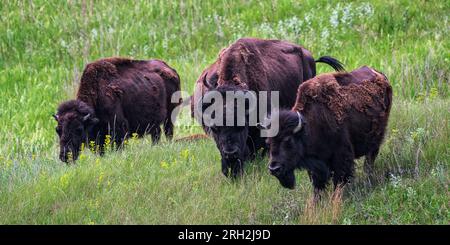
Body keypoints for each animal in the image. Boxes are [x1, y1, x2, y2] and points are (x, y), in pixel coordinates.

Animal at [262, 64, 392, 193]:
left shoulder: (341, 156)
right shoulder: (317, 166)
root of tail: (380, 75)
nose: (274, 168)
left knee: (370, 159)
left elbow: (340, 180)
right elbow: (318, 185)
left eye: (288, 140)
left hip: (376, 138)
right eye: (268, 143)